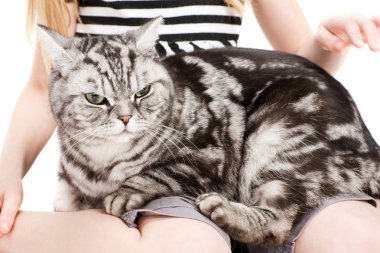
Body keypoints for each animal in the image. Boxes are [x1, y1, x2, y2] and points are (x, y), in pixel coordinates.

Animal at [38, 18, 380, 245]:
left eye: (142, 92)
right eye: (96, 99)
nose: (125, 118)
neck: (104, 162)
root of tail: (371, 146)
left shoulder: (208, 156)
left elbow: (157, 173)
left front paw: (124, 192)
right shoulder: (66, 183)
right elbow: (63, 200)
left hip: (276, 135)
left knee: (279, 220)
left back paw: (224, 210)